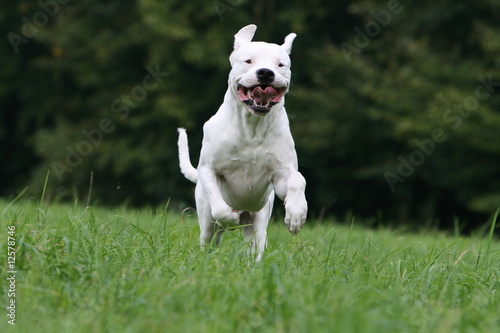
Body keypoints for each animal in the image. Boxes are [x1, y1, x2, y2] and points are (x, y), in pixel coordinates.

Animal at [178, 24, 306, 260]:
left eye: (281, 64)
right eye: (248, 61)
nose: (265, 73)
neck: (252, 127)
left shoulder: (281, 174)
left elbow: (297, 179)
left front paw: (296, 214)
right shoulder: (209, 169)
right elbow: (219, 206)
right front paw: (229, 216)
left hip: (258, 221)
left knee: (256, 243)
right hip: (207, 222)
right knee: (210, 236)